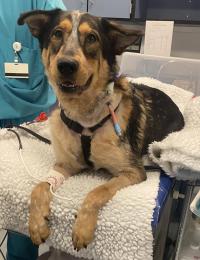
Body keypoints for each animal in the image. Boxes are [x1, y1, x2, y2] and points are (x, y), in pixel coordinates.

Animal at [17, 9, 184, 251]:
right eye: (57, 34)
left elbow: (98, 191)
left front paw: (82, 228)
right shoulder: (65, 164)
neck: (85, 119)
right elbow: (40, 186)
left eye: (92, 38)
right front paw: (37, 224)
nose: (66, 65)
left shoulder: (133, 171)